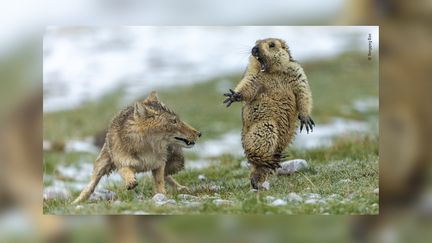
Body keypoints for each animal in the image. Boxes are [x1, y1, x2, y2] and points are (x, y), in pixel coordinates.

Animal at [73, 92, 202, 204]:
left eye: (177, 120)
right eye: (174, 121)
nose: (199, 133)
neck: (147, 148)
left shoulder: (159, 164)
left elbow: (160, 182)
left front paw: (163, 195)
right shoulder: (122, 163)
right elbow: (126, 171)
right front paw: (131, 182)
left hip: (175, 163)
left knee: (167, 176)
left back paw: (181, 188)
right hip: (101, 166)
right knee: (90, 186)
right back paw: (77, 201)